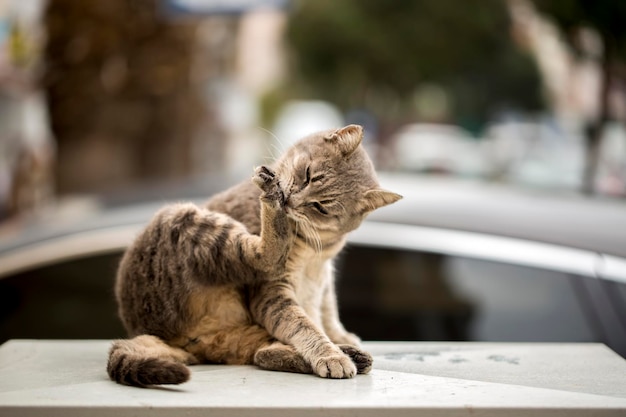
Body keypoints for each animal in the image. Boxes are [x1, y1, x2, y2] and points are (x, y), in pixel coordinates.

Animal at [106, 124, 400, 386]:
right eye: (307, 174)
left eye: (321, 208)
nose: (290, 200)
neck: (318, 246)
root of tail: (170, 340)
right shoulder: (270, 293)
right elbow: (304, 325)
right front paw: (330, 355)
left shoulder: (323, 276)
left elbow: (326, 311)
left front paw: (341, 338)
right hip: (188, 221)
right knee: (263, 260)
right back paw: (271, 195)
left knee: (263, 352)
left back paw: (353, 354)